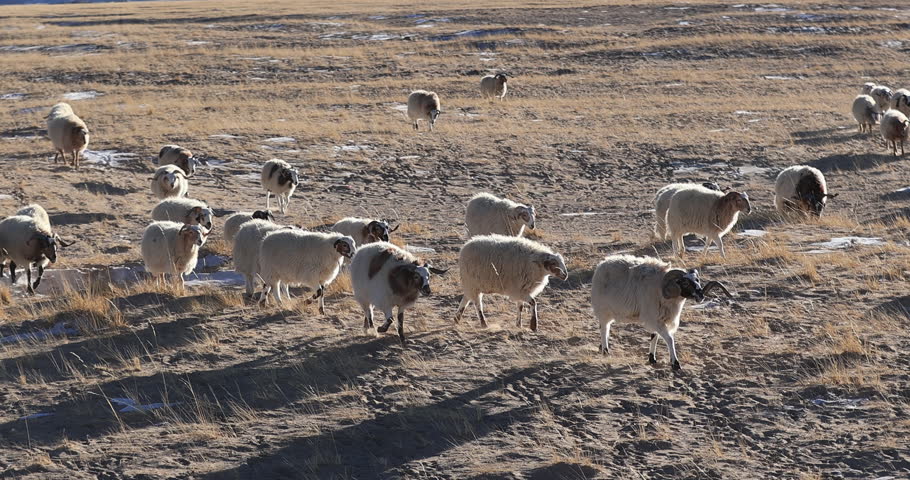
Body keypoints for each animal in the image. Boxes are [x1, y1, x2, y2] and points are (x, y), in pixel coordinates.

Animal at [591, 254, 733, 370]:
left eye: (697, 280)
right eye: (685, 283)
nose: (701, 295)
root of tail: (602, 264)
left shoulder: (658, 318)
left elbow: (654, 336)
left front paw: (652, 358)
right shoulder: (654, 318)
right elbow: (669, 339)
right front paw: (675, 363)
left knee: (605, 329)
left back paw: (601, 347)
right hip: (603, 310)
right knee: (604, 329)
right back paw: (605, 351)